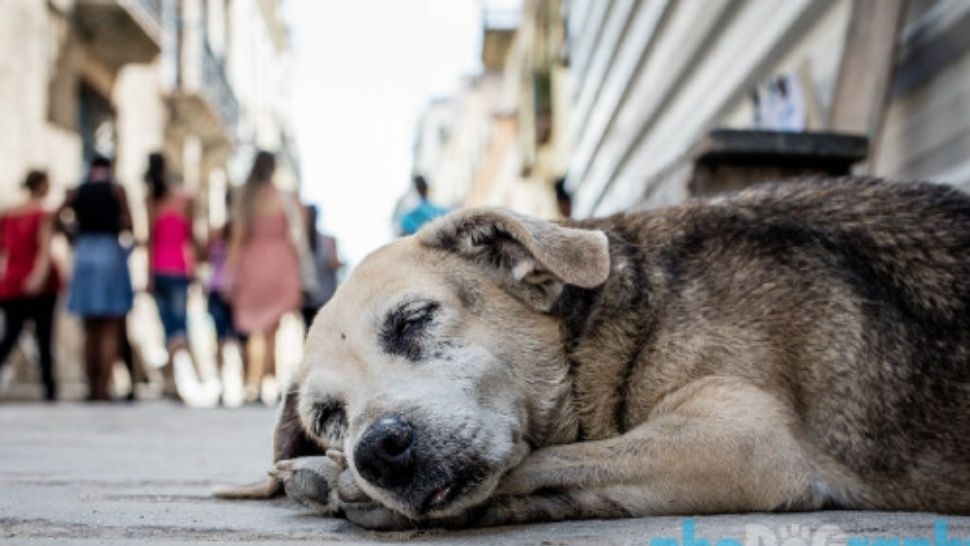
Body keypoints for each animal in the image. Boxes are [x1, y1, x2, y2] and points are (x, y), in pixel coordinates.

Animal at [216, 177, 968, 528]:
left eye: (413, 321)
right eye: (328, 418)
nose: (375, 451)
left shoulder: (742, 441)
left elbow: (552, 463)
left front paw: (335, 484)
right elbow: (562, 471)